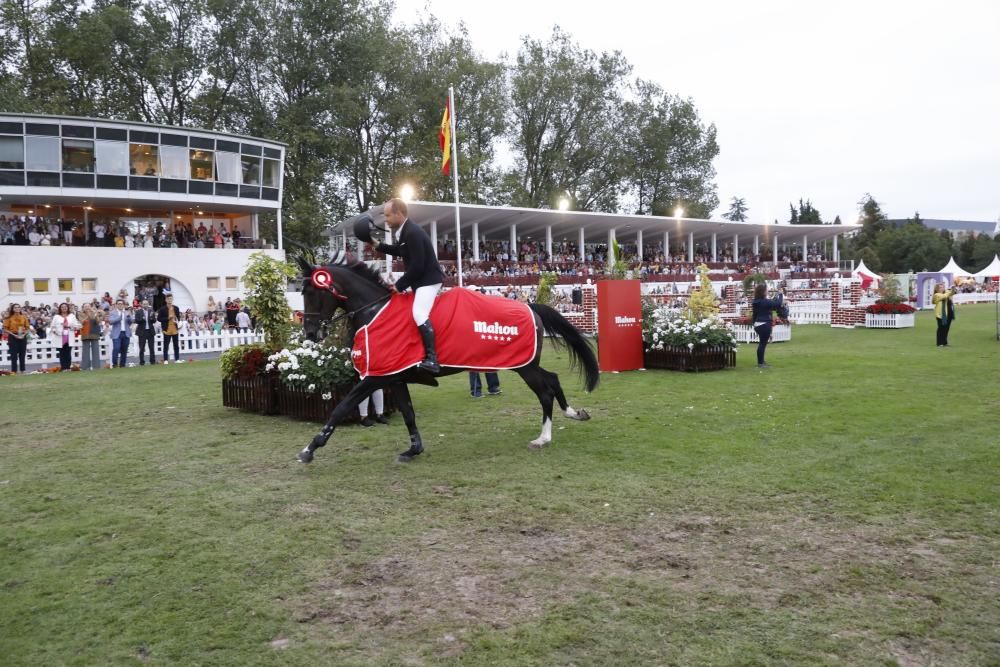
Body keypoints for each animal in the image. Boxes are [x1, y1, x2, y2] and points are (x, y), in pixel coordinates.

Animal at [292, 256, 596, 464]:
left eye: (311, 293)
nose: (311, 333)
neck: (375, 311)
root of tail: (530, 305)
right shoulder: (395, 377)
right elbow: (408, 413)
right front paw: (413, 450)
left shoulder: (376, 377)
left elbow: (340, 409)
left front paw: (309, 450)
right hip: (524, 364)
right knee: (552, 380)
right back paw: (572, 414)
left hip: (523, 366)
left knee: (544, 391)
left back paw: (543, 437)